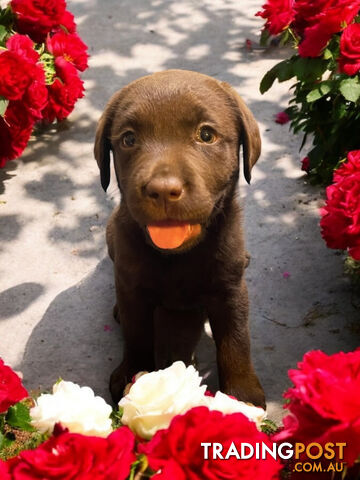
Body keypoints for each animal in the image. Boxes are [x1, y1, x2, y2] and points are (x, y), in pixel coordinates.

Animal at [94, 70, 266, 408]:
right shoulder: (133, 287)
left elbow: (236, 339)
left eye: (206, 135)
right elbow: (137, 332)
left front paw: (242, 394)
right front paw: (132, 373)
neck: (178, 256)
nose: (162, 190)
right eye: (129, 139)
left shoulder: (230, 289)